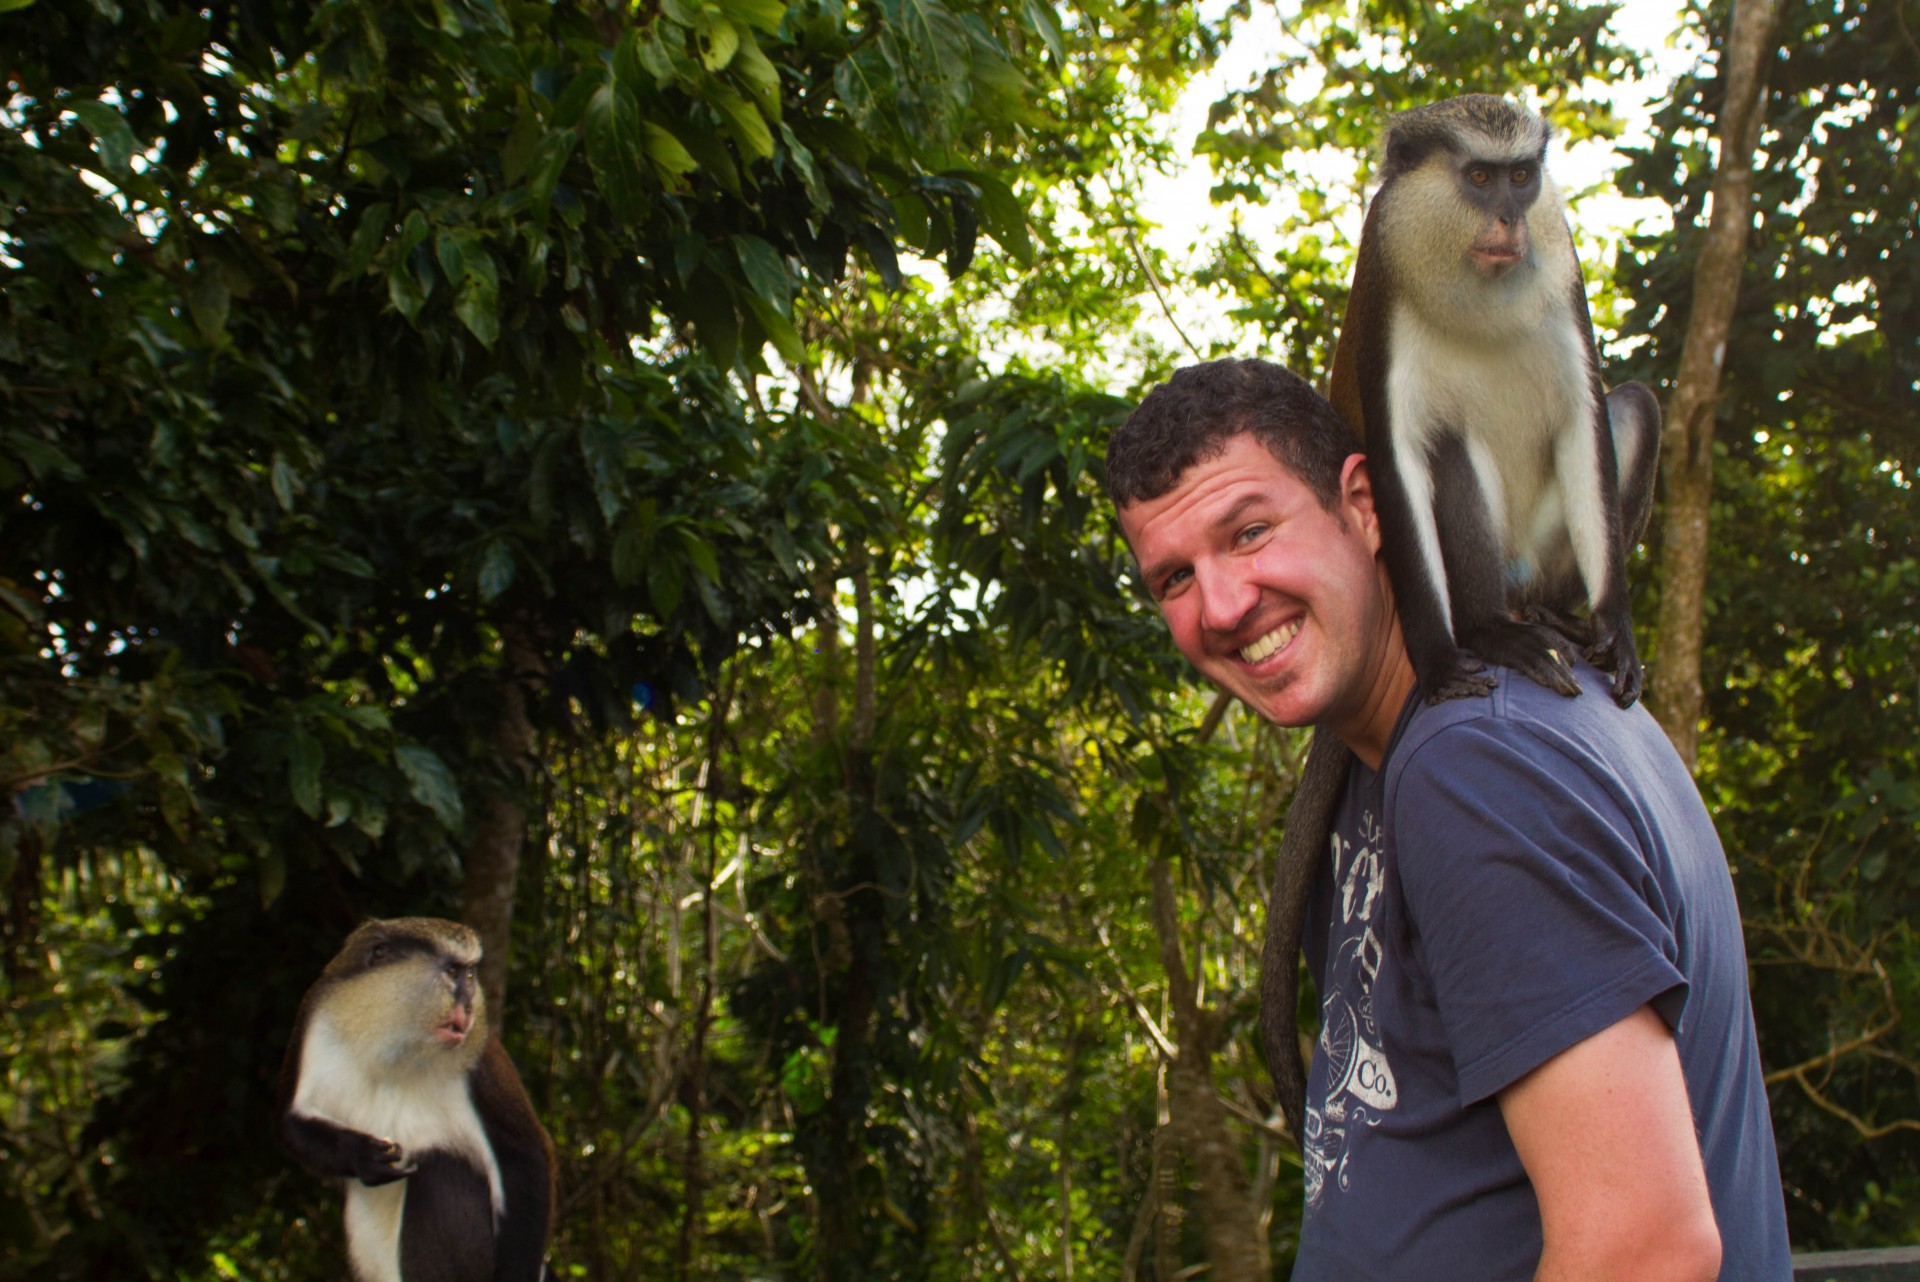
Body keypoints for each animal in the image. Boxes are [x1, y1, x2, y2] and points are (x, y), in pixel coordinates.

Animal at [280, 917, 560, 1274]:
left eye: (470, 975)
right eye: (453, 972)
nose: (467, 1005)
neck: (391, 1044)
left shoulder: (481, 1057)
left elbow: (523, 1156)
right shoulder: (315, 1019)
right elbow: (292, 1124)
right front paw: (362, 1155)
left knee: (439, 1165)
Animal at [1259, 97, 1666, 1143]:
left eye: (1523, 176)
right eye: (1477, 179)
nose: (1510, 222)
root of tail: (1519, 586)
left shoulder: (1565, 282)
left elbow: (1590, 416)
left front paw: (1617, 628)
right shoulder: (1385, 289)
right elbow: (1401, 456)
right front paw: (1445, 663)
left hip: (1547, 551)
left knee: (1636, 406)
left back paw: (1559, 617)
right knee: (1446, 454)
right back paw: (1493, 632)